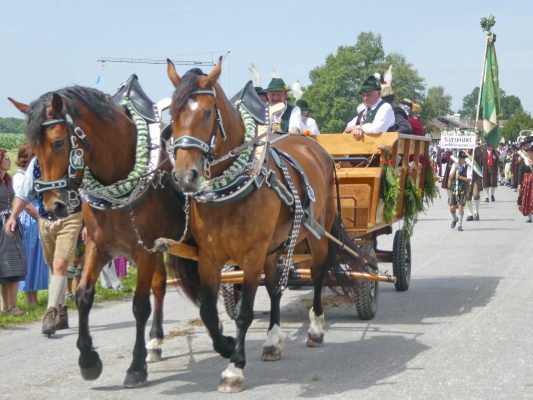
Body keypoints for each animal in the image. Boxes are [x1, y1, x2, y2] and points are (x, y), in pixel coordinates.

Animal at [9, 86, 200, 387]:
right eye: (32, 150)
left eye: (59, 143)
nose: (54, 207)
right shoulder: (97, 246)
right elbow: (83, 296)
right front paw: (88, 360)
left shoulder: (144, 251)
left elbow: (139, 306)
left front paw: (136, 367)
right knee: (160, 285)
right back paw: (155, 341)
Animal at [164, 58, 371, 392]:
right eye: (172, 113)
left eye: (207, 113)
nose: (185, 177)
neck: (230, 192)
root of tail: (317, 148)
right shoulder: (209, 258)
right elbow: (208, 312)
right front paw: (226, 345)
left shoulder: (251, 255)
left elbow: (244, 314)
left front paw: (234, 368)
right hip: (275, 246)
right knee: (275, 286)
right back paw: (273, 342)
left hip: (317, 234)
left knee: (318, 273)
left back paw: (315, 329)